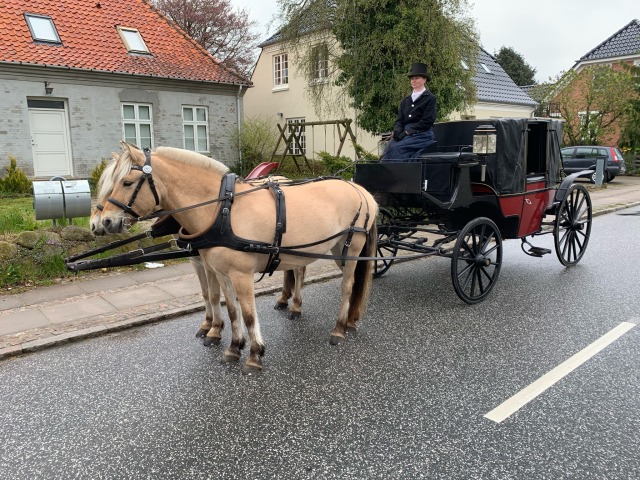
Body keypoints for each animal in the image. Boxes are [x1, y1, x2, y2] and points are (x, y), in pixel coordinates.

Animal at [91, 156, 308, 346]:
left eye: (125, 183)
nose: (99, 223)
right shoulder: (197, 261)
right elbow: (205, 293)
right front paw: (208, 324)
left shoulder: (209, 263)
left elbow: (213, 295)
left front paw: (215, 329)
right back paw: (283, 298)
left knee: (298, 270)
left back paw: (295, 305)